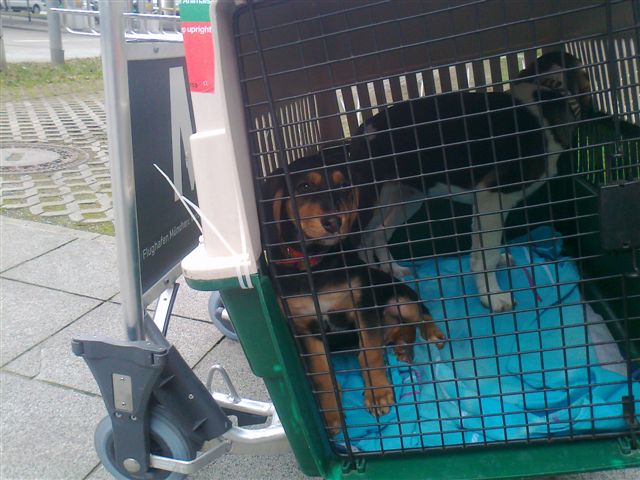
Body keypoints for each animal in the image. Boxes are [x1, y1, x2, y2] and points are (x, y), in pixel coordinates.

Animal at [263, 151, 445, 433]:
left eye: (343, 186)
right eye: (304, 187)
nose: (333, 221)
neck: (318, 265)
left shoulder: (364, 307)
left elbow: (370, 353)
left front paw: (378, 394)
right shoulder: (304, 328)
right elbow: (322, 372)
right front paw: (331, 415)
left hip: (401, 299)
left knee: (420, 316)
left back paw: (428, 335)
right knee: (391, 335)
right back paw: (403, 347)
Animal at [349, 51, 592, 313]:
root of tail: (362, 130)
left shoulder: (484, 203)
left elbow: (483, 250)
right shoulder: (493, 196)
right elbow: (487, 255)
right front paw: (492, 296)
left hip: (408, 198)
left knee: (377, 235)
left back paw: (392, 270)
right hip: (373, 199)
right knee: (360, 242)